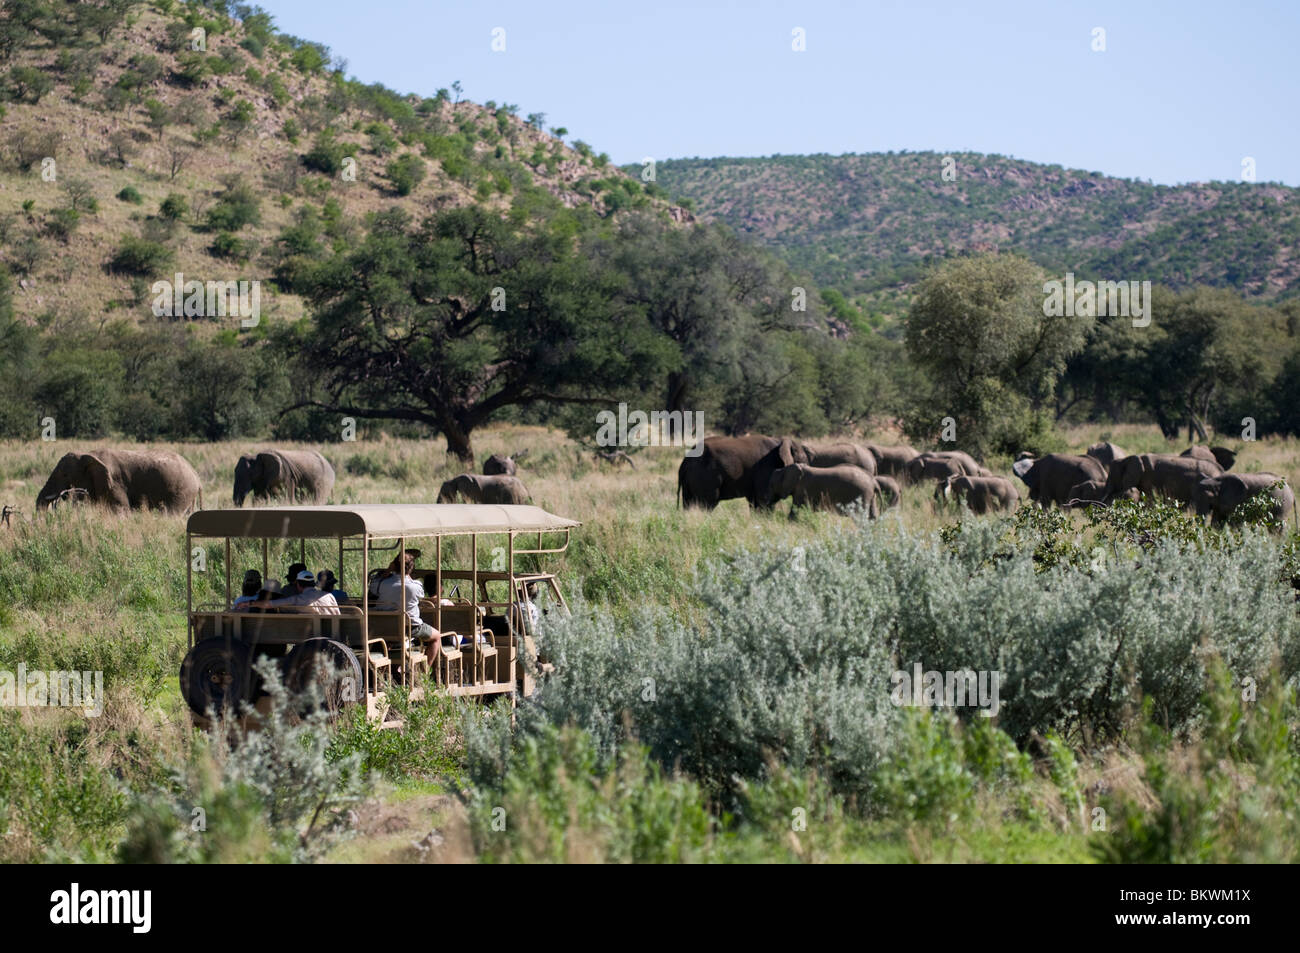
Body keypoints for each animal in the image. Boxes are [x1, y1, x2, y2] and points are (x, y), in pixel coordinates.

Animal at [36, 447, 200, 512]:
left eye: (65, 475)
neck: (87, 454)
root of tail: (196, 476)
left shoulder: (115, 484)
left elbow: (120, 510)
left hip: (181, 491)